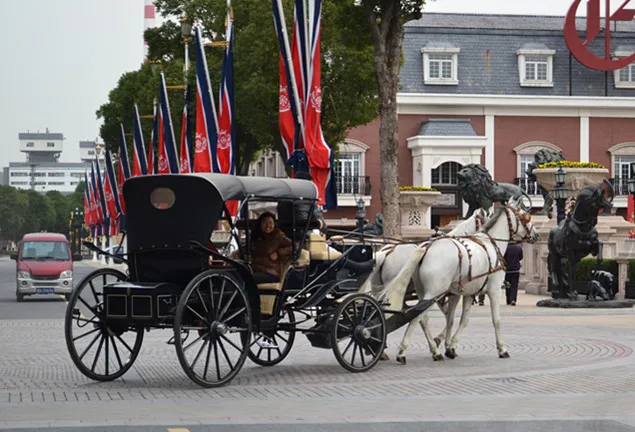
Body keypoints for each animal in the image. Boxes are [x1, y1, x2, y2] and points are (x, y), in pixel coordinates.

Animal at [360, 208, 490, 362]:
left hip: (379, 290)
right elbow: (447, 317)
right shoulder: (445, 292)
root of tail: (386, 252)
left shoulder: (439, 294)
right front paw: (442, 342)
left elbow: (446, 315)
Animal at [400, 197, 540, 362]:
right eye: (526, 216)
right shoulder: (494, 291)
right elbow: (496, 320)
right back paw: (403, 351)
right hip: (434, 292)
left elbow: (461, 320)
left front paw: (451, 346)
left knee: (423, 318)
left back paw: (434, 350)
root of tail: (427, 248)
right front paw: (502, 348)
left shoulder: (467, 293)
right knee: (417, 316)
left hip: (423, 291)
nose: (536, 234)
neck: (491, 244)